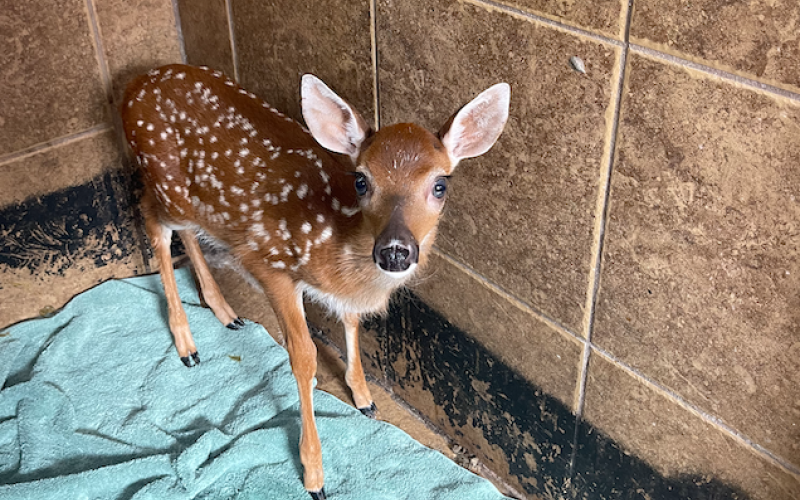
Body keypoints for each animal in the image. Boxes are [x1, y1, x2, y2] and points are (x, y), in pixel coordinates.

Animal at [121, 64, 509, 499]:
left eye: (440, 185)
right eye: (362, 180)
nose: (395, 251)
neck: (336, 241)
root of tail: (134, 84)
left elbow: (352, 322)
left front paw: (364, 397)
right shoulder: (269, 263)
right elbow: (304, 357)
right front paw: (314, 474)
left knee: (184, 230)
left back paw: (224, 312)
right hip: (166, 184)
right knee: (151, 218)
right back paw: (187, 344)